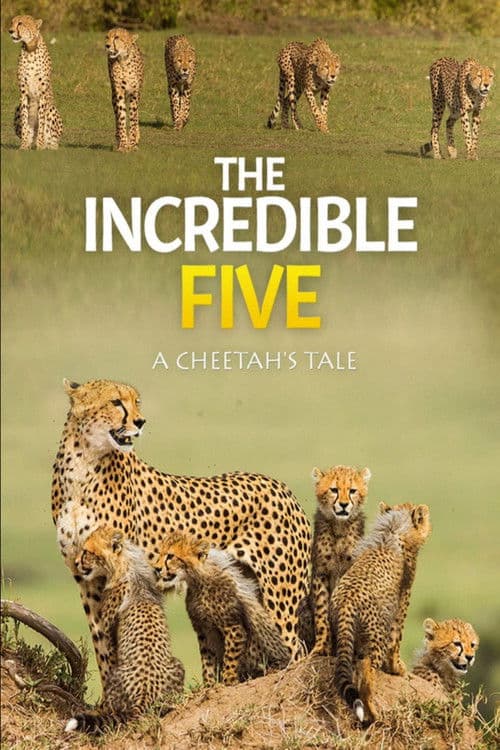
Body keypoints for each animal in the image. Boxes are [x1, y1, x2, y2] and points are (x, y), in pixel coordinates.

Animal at [9, 15, 62, 150]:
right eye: (12, 22)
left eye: (20, 23)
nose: (10, 31)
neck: (30, 49)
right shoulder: (23, 92)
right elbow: (24, 120)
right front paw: (23, 145)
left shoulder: (42, 93)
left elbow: (42, 121)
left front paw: (40, 145)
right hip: (17, 109)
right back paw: (29, 142)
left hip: (52, 109)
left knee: (53, 141)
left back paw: (48, 146)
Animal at [65, 526, 184, 734]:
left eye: (87, 552)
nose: (77, 562)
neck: (125, 564)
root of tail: (144, 692)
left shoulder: (108, 633)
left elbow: (109, 659)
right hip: (178, 667)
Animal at [155, 531, 290, 685]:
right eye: (160, 553)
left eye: (170, 556)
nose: (156, 568)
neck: (197, 581)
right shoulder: (203, 630)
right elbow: (207, 660)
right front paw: (209, 685)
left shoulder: (233, 627)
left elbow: (230, 657)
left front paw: (229, 679)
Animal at [301, 465, 371, 656]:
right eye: (334, 490)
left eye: (352, 491)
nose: (344, 505)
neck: (340, 527)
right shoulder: (321, 573)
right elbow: (321, 612)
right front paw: (321, 647)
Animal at [331, 502, 431, 724]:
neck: (393, 528)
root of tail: (347, 600)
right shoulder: (401, 602)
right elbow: (396, 638)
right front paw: (397, 668)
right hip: (376, 639)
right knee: (366, 673)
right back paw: (373, 715)